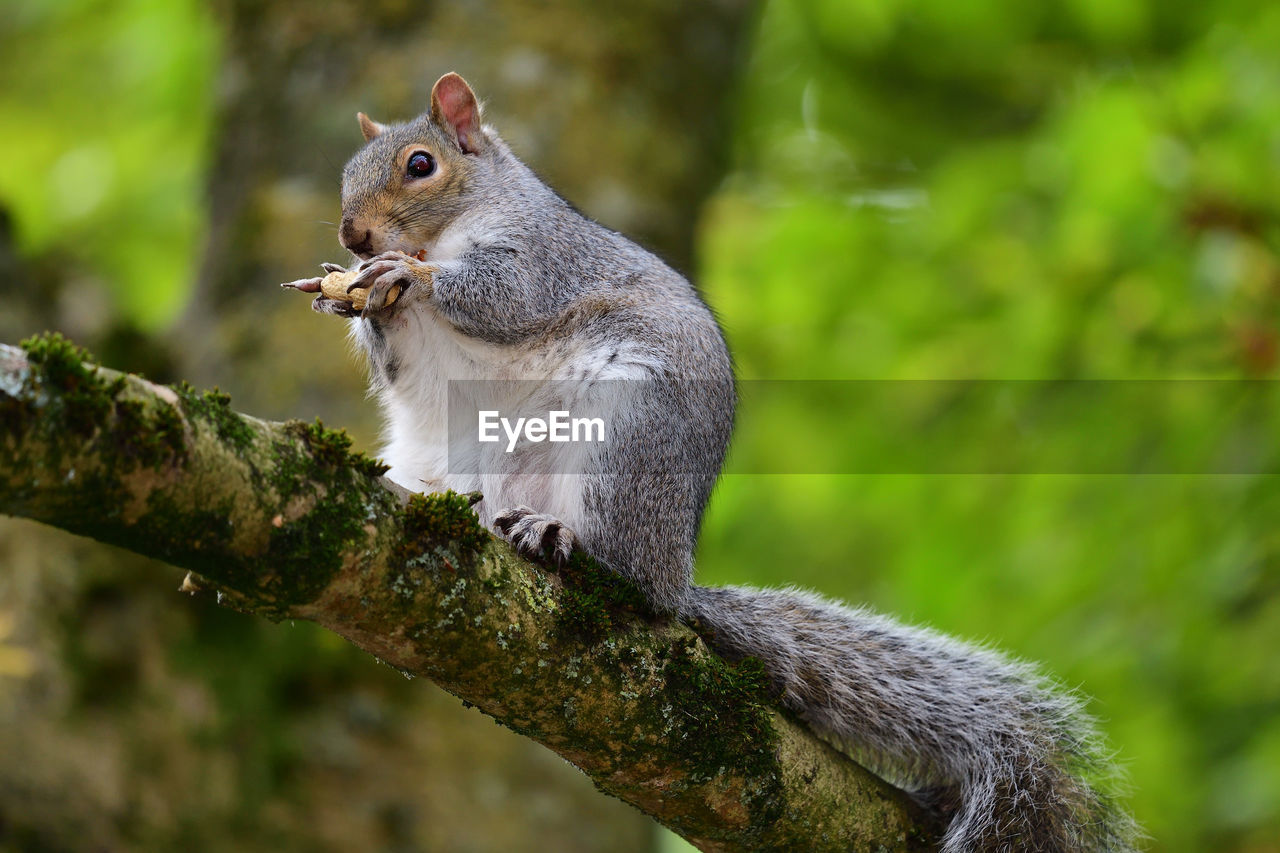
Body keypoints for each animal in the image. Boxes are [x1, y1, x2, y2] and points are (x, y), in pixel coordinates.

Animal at [282, 74, 1141, 850]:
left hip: (625, 442)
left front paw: (406, 277)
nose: (354, 238)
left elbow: (502, 293)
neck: (450, 226)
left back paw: (562, 542)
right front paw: (345, 293)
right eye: (346, 174)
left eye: (420, 164)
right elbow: (407, 367)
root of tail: (679, 572)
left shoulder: (545, 256)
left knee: (633, 581)